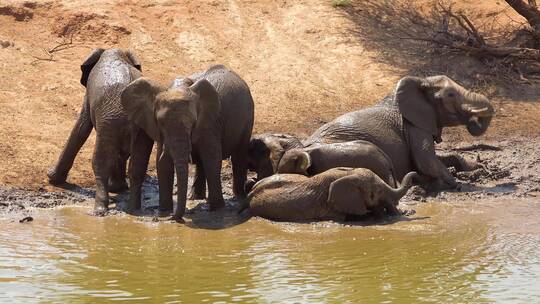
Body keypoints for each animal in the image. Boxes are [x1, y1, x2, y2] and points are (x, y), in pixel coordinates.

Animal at [47, 48, 142, 214]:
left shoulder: (89, 95)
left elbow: (81, 128)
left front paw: (51, 178)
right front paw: (118, 188)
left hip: (109, 120)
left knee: (101, 162)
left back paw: (99, 209)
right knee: (136, 166)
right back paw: (133, 208)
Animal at [121, 64, 255, 221]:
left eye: (192, 121)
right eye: (161, 122)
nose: (173, 217)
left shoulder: (210, 122)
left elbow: (211, 158)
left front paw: (218, 210)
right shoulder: (157, 129)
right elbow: (163, 164)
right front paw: (164, 212)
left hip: (248, 117)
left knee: (238, 156)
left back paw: (237, 197)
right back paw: (195, 197)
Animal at [304, 75, 494, 191]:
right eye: (451, 95)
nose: (473, 121)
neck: (421, 82)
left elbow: (438, 158)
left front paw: (479, 168)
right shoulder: (415, 127)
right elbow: (427, 161)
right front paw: (455, 184)